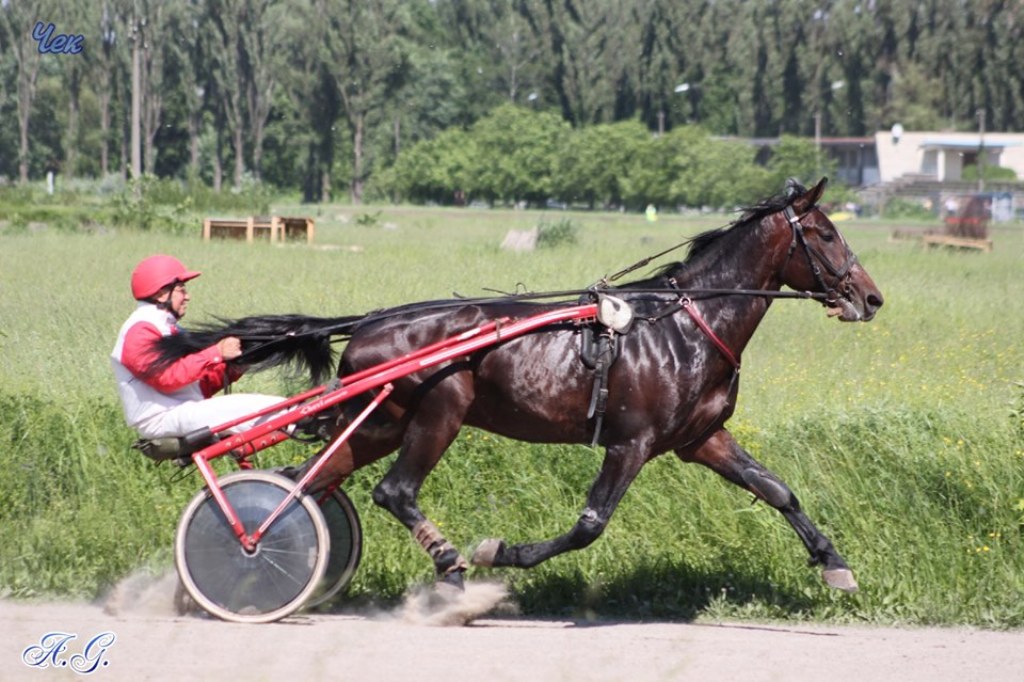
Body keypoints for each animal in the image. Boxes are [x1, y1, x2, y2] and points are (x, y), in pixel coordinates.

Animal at [157, 179, 880, 593]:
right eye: (824, 233)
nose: (870, 297)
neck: (682, 324)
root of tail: (370, 321)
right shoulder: (633, 442)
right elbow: (589, 525)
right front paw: (498, 551)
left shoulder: (699, 437)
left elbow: (777, 489)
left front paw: (834, 562)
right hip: (440, 406)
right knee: (392, 490)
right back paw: (446, 561)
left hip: (381, 419)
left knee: (309, 479)